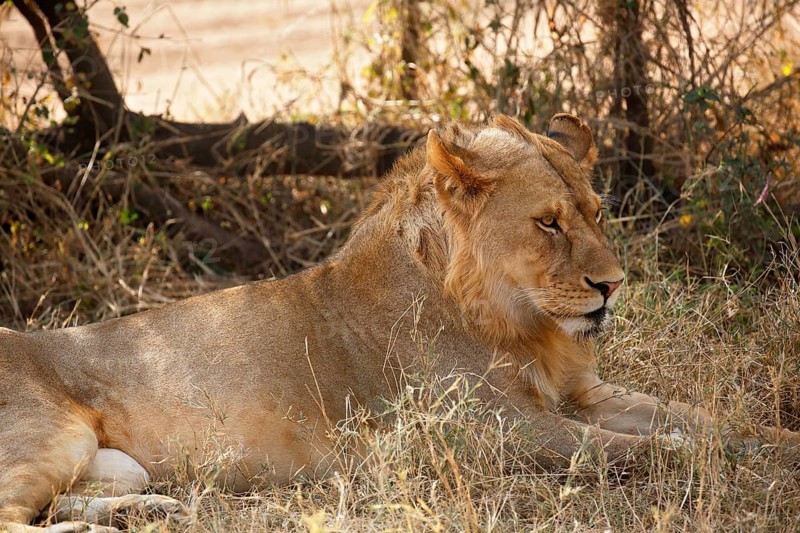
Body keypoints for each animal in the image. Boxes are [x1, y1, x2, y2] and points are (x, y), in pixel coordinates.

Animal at [1, 114, 798, 532]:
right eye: (548, 222)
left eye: (598, 213)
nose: (613, 285)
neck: (517, 322)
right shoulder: (491, 429)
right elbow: (640, 450)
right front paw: (701, 460)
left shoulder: (581, 395)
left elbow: (709, 420)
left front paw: (774, 444)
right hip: (53, 434)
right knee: (17, 518)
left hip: (115, 461)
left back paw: (152, 507)